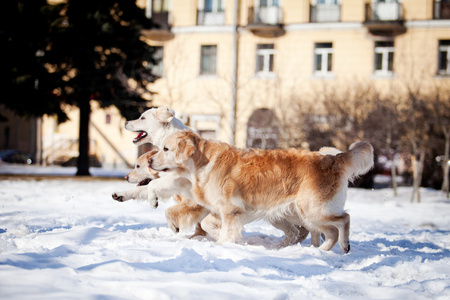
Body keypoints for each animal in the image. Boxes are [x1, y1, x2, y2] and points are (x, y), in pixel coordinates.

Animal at [149, 132, 374, 252]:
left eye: (166, 149)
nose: (150, 160)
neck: (202, 162)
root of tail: (333, 158)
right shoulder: (221, 209)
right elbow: (206, 223)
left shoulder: (231, 209)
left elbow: (222, 229)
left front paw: (224, 243)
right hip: (300, 214)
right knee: (323, 232)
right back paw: (317, 252)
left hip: (314, 209)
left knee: (344, 219)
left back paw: (343, 246)